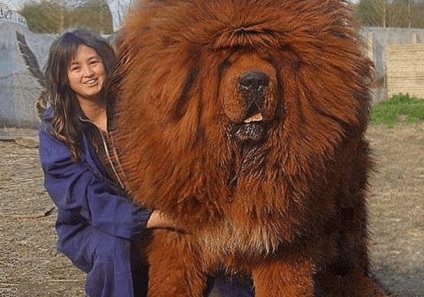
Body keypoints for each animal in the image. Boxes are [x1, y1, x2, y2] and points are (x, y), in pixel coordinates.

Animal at [112, 1, 390, 294]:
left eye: (271, 58)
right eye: (226, 61)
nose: (254, 81)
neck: (239, 168)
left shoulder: (285, 244)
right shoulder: (178, 237)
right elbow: (172, 284)